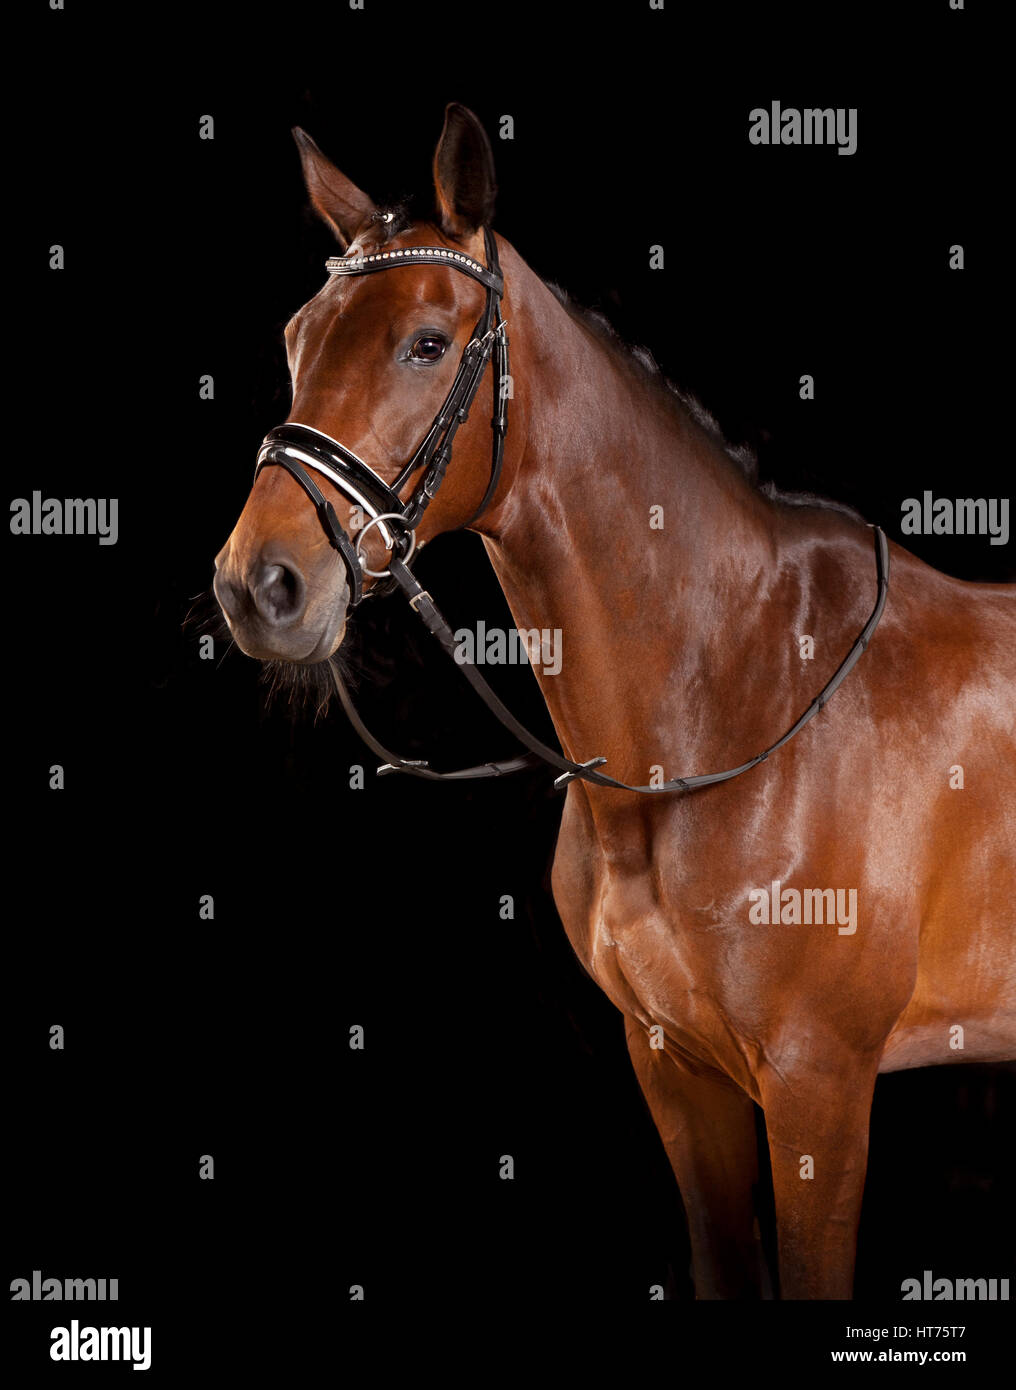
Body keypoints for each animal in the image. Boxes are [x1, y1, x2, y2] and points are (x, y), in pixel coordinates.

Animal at [214, 102, 1016, 1295]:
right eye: (295, 338)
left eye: (427, 343)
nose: (259, 586)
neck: (736, 697)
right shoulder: (677, 1071)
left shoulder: (819, 1088)